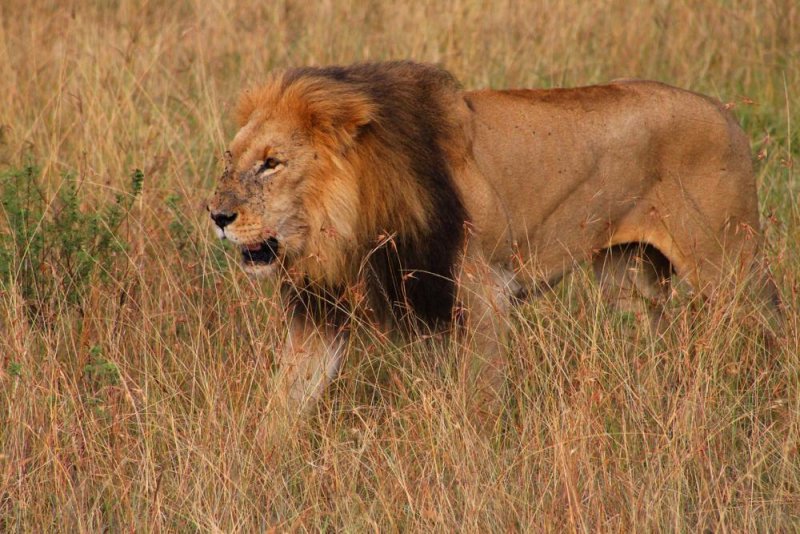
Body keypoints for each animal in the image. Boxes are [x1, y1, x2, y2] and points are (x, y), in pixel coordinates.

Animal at [208, 60, 780, 416]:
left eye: (272, 163)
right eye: (231, 159)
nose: (216, 215)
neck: (344, 223)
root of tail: (726, 113)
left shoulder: (481, 295)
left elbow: (480, 405)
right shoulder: (323, 316)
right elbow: (284, 404)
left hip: (727, 266)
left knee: (770, 326)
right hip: (631, 280)